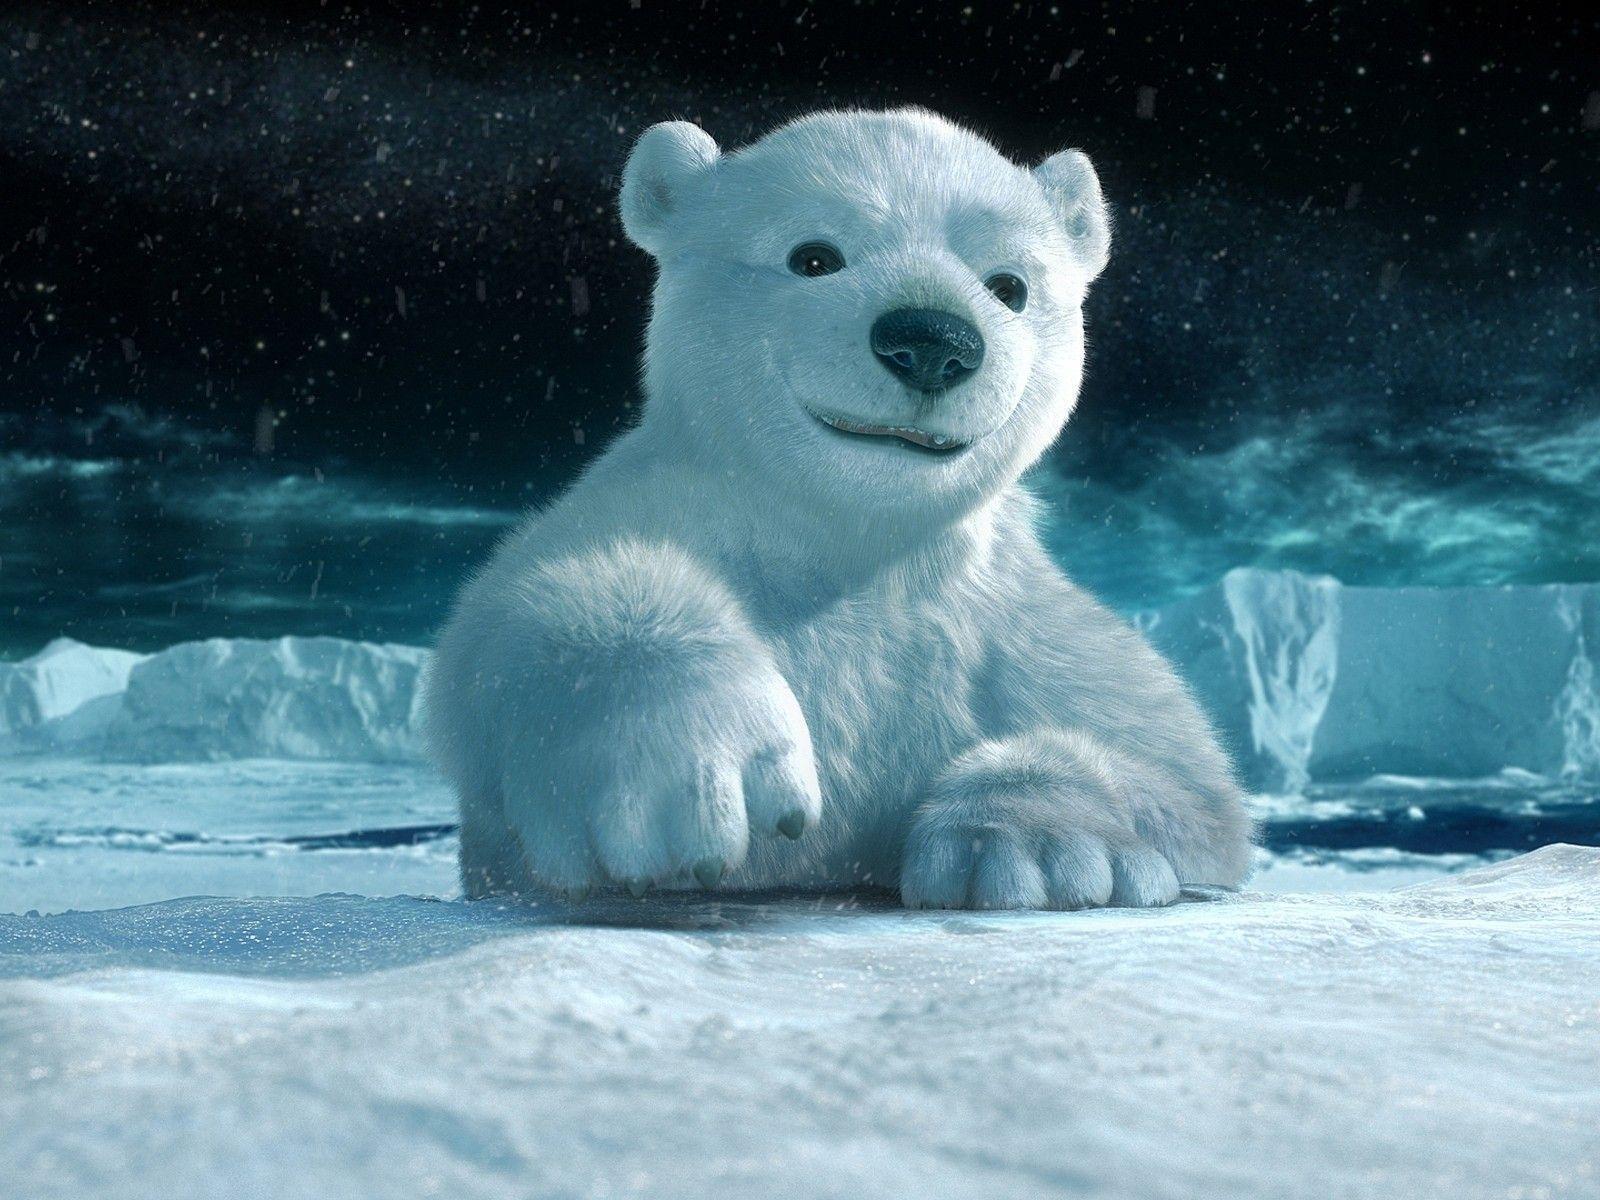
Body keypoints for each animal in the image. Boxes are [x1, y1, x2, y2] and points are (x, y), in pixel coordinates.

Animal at [421, 108, 1252, 909]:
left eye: (1009, 285)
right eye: (813, 256)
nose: (932, 340)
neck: (854, 545)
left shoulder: (1011, 619)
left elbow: (1183, 777)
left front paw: (1035, 849)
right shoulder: (665, 506)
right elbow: (503, 626)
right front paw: (687, 769)